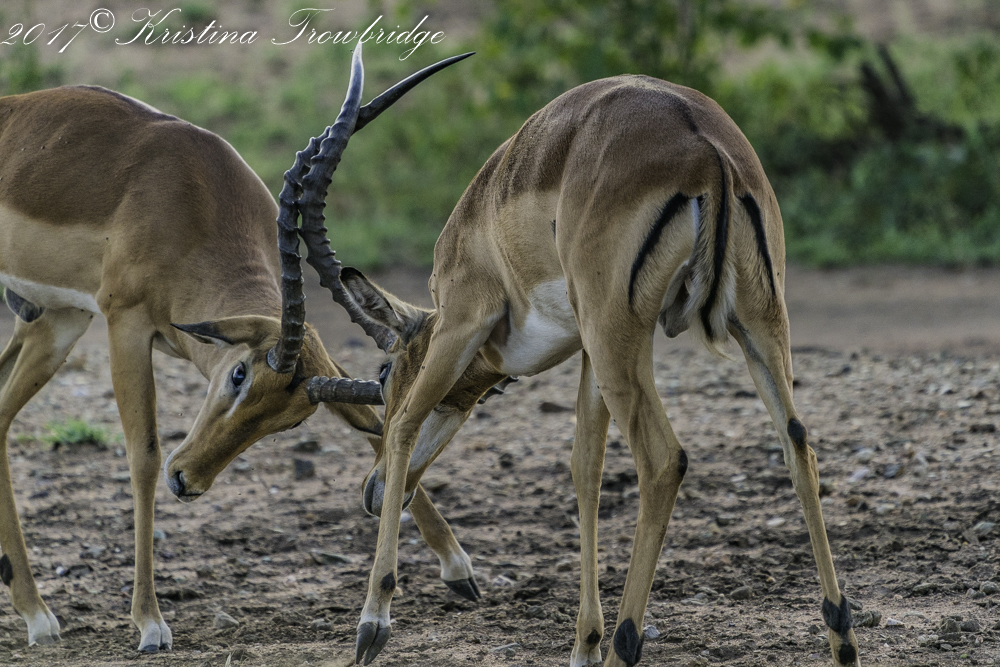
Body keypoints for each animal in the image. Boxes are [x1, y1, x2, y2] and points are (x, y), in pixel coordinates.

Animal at [0, 46, 483, 653]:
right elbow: (144, 455)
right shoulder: (125, 325)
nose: (188, 482)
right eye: (238, 376)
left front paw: (459, 568)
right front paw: (150, 622)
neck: (186, 196)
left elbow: (378, 423)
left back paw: (34, 612)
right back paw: (41, 614)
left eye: (289, 422)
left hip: (58, 321)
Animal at [320, 77, 863, 666]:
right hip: (755, 324)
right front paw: (583, 645)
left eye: (384, 372)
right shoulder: (584, 350)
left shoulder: (462, 321)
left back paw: (626, 642)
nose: (371, 493)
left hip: (621, 336)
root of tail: (708, 151)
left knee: (664, 461)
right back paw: (842, 637)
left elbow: (403, 427)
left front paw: (373, 623)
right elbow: (585, 467)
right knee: (798, 443)